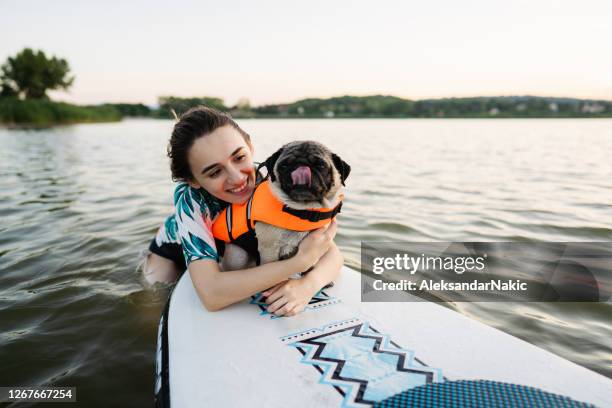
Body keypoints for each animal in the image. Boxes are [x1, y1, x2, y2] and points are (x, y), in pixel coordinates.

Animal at [221, 142, 352, 272]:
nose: (301, 164)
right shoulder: (269, 251)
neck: (303, 210)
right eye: (284, 166)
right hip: (236, 254)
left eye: (321, 165)